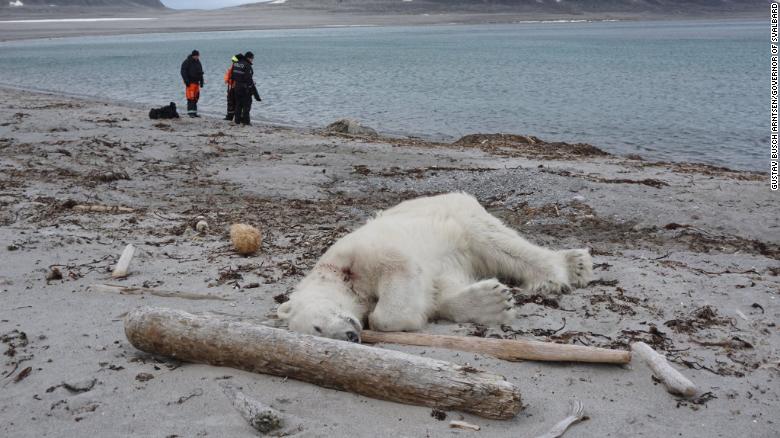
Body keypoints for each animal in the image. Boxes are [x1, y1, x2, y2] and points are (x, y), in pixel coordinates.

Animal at [277, 192, 593, 342]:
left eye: (317, 326)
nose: (350, 336)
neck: (338, 275)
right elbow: (440, 290)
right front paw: (492, 301)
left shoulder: (362, 253)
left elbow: (397, 278)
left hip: (460, 217)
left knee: (499, 244)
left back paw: (565, 270)